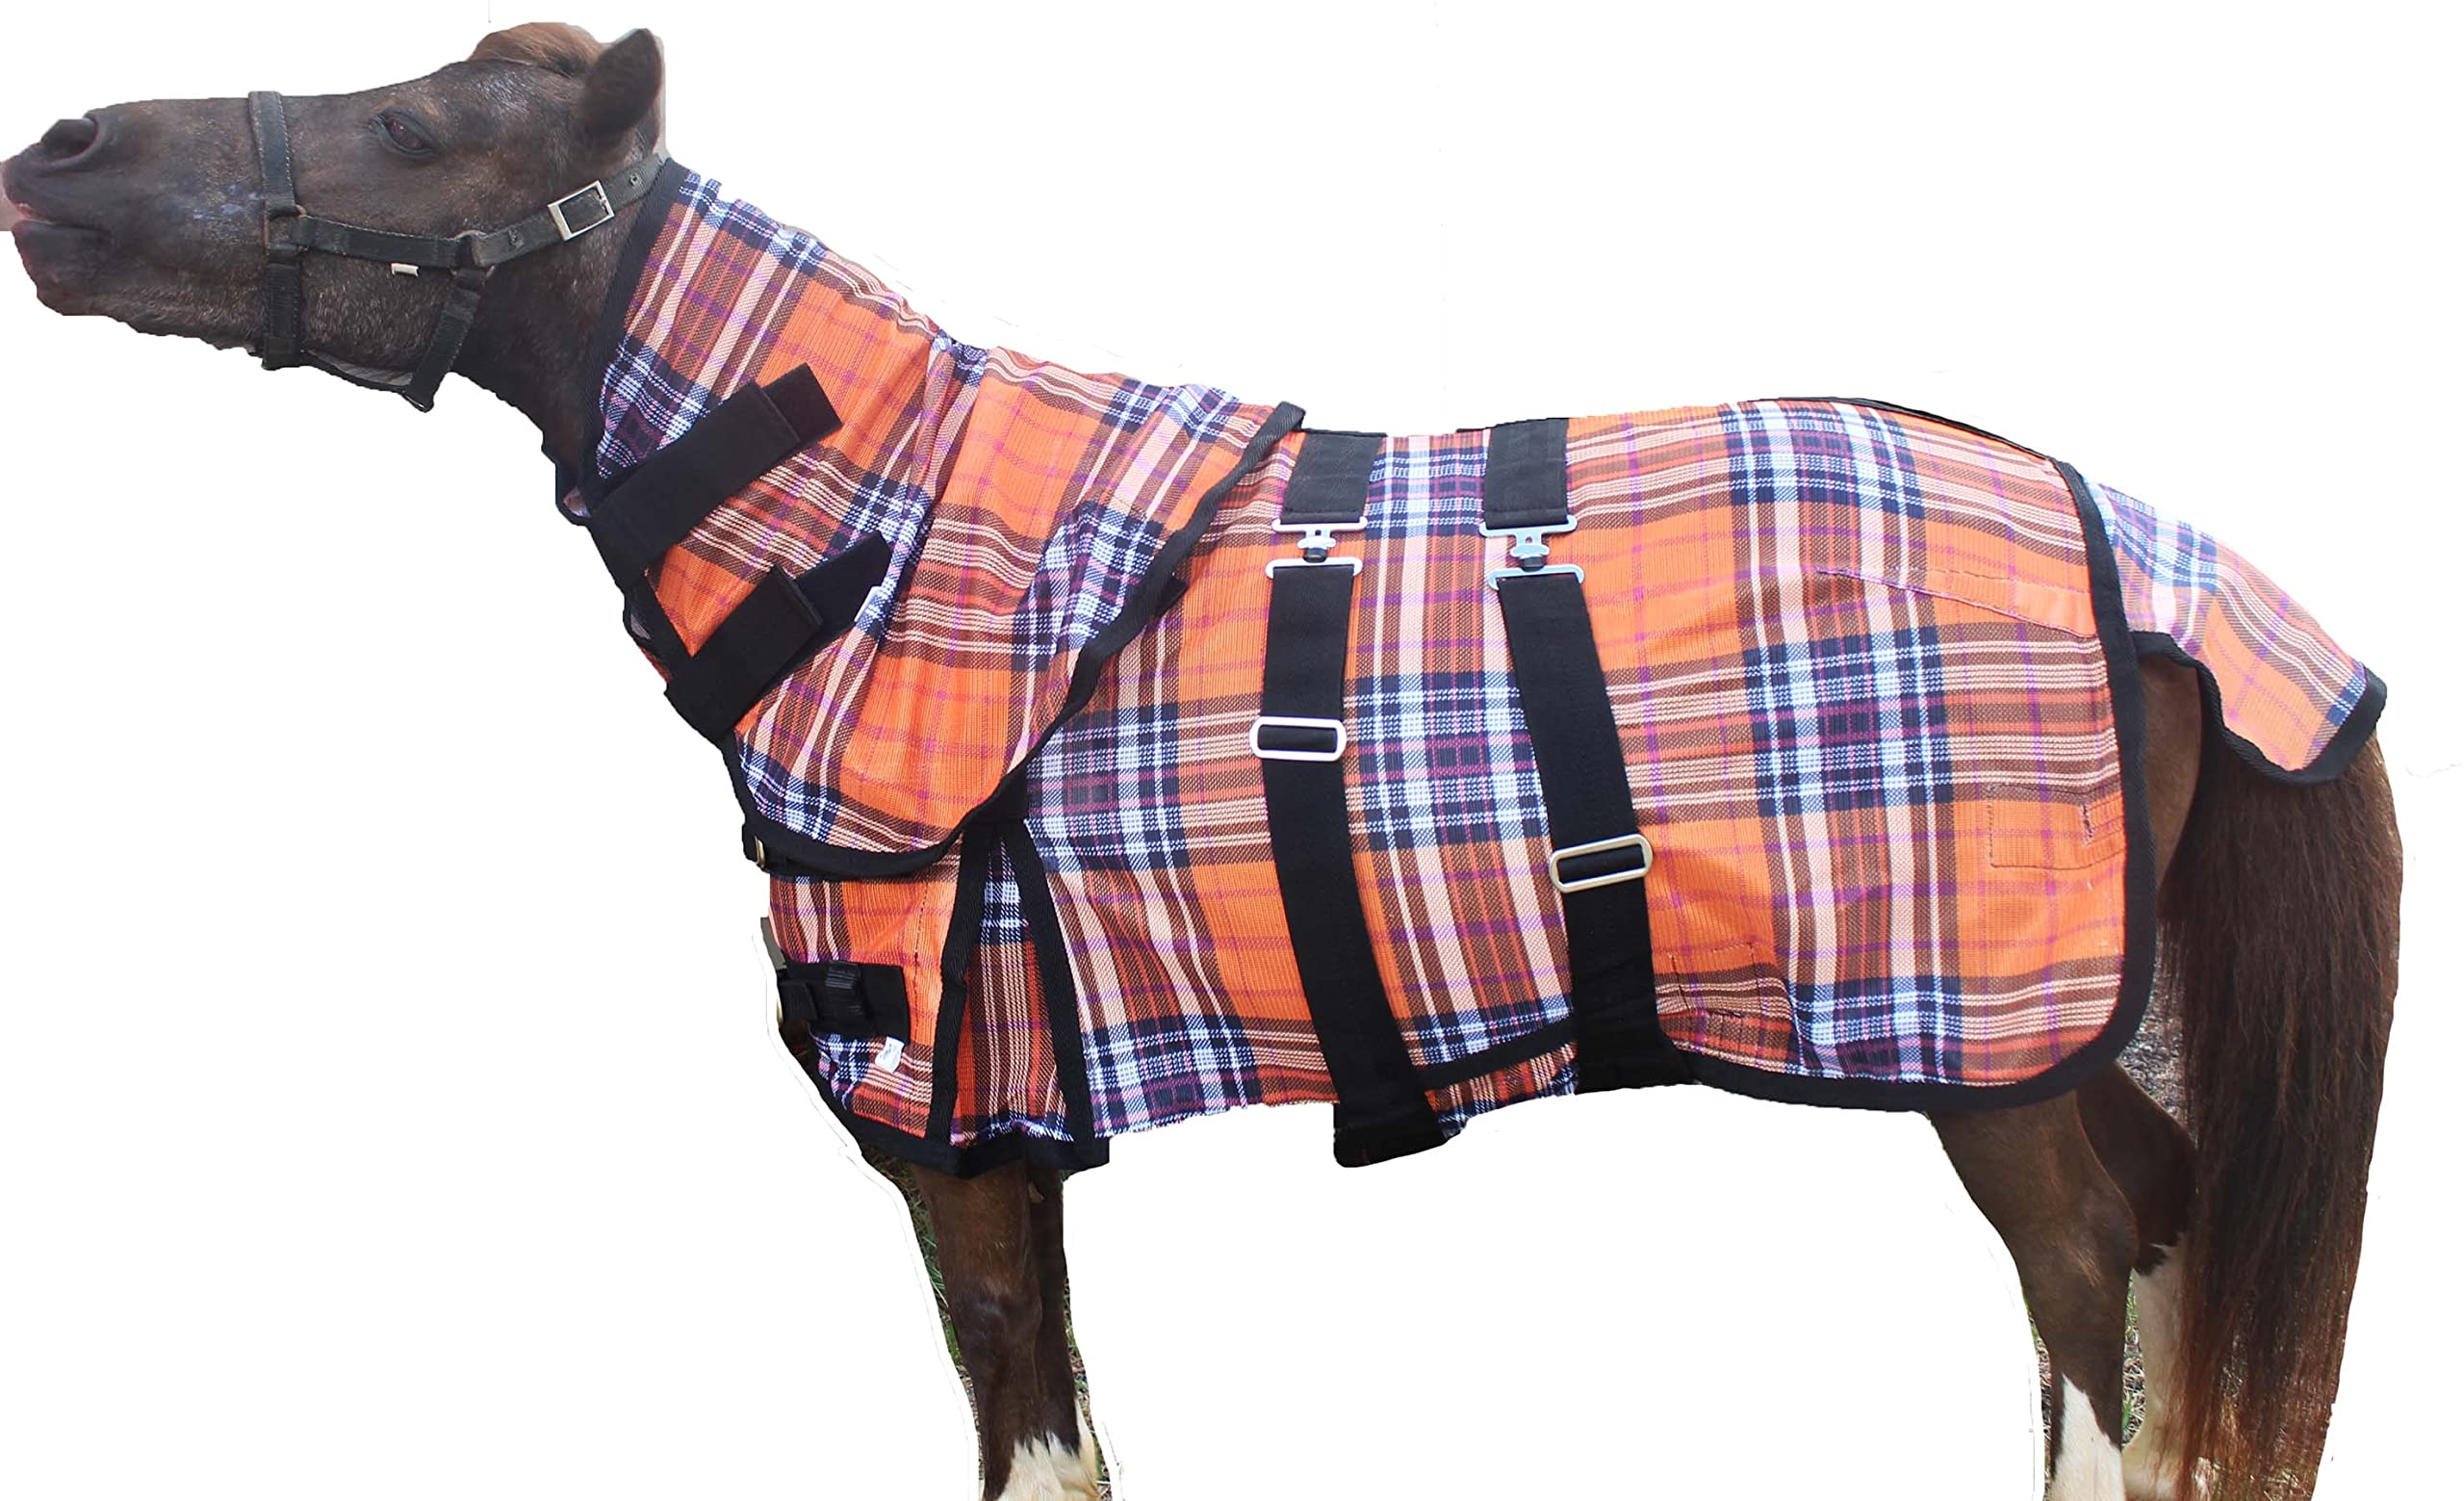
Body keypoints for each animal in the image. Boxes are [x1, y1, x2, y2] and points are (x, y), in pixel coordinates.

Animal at [1, 22, 2403, 1501]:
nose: (56, 154)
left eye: (421, 132)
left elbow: (1027, 1425)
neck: (879, 518)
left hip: (1981, 1064)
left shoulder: (954, 1126)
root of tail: (2149, 552)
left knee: (2091, 1293)